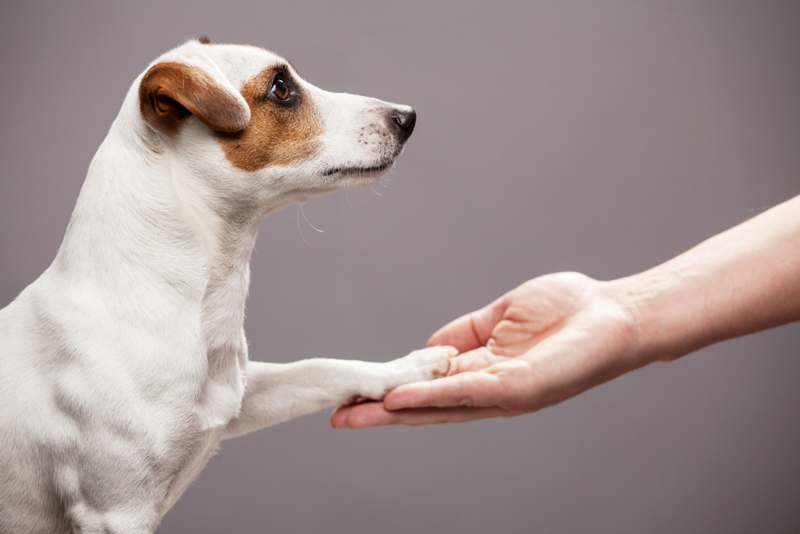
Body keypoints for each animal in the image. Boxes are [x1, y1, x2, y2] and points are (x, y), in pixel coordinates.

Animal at [0, 38, 456, 534]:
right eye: (280, 88)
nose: (407, 116)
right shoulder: (116, 512)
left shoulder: (241, 395)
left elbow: (320, 369)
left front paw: (408, 367)